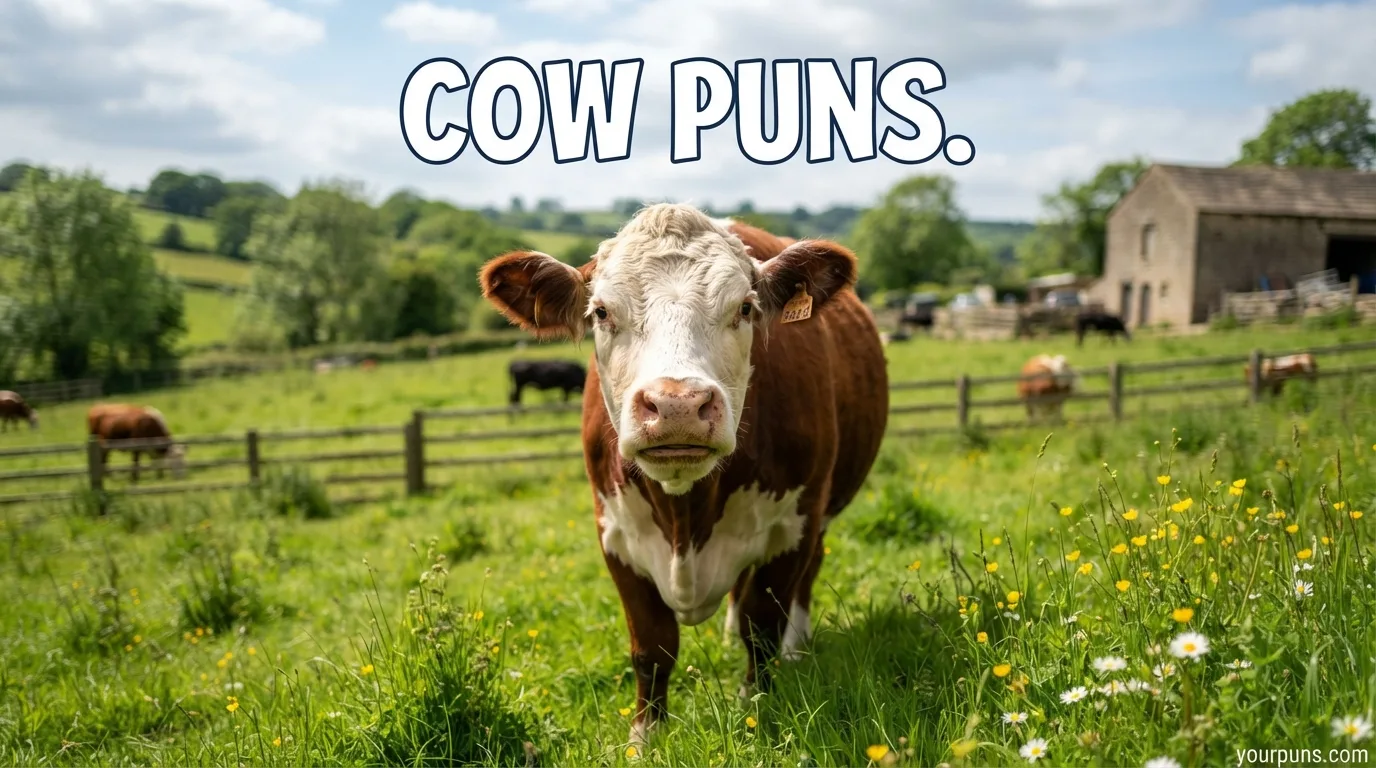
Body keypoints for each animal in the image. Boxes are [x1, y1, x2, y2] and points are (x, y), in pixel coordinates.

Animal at [479, 204, 887, 744]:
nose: (677, 405)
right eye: (601, 312)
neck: (685, 514)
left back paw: (796, 647)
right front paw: (645, 736)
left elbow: (763, 624)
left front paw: (756, 706)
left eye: (745, 308)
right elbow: (652, 645)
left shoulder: (793, 523)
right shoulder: (614, 534)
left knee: (804, 579)